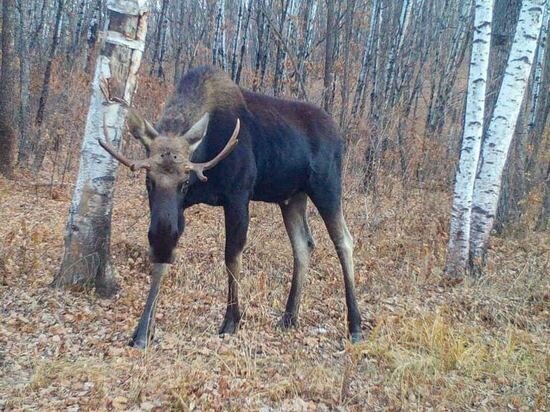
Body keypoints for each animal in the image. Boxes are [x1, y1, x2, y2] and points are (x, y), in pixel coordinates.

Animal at [101, 67, 364, 348]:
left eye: (185, 183)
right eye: (149, 181)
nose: (160, 236)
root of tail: (339, 134)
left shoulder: (238, 196)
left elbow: (231, 256)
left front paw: (231, 321)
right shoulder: (177, 213)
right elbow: (163, 260)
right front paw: (142, 331)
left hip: (326, 186)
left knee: (344, 240)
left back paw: (355, 324)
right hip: (292, 197)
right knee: (304, 245)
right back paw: (289, 317)